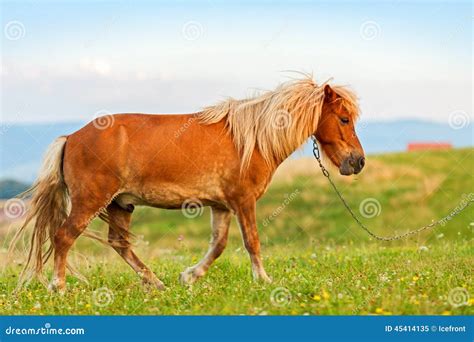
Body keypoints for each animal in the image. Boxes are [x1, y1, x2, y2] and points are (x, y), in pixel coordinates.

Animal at [12, 77, 366, 292]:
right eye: (344, 119)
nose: (358, 162)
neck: (250, 140)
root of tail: (71, 138)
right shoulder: (243, 201)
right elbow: (252, 241)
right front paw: (263, 280)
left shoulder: (222, 206)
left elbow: (219, 246)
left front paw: (189, 275)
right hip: (91, 201)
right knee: (64, 237)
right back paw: (58, 287)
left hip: (120, 204)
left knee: (119, 243)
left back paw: (155, 283)